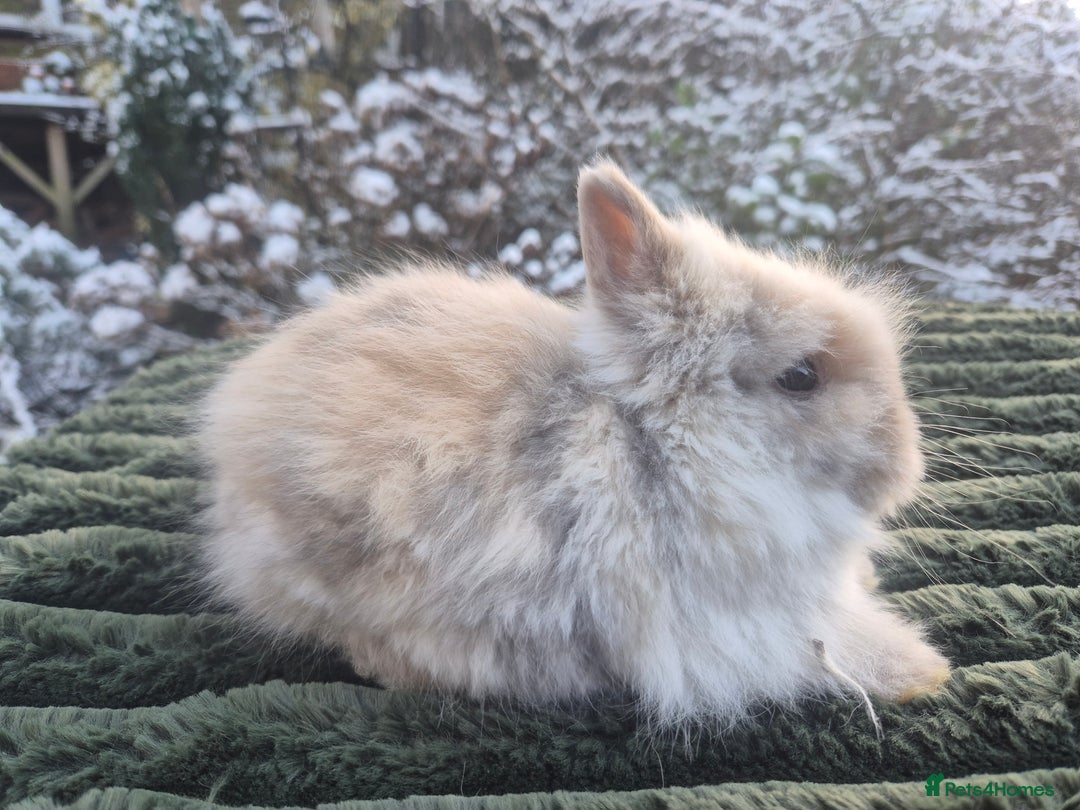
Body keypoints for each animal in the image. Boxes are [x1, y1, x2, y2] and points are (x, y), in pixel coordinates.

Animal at [198, 160, 950, 729]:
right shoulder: (737, 627)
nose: (903, 465)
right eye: (801, 376)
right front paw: (924, 672)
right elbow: (835, 647)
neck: (655, 444)